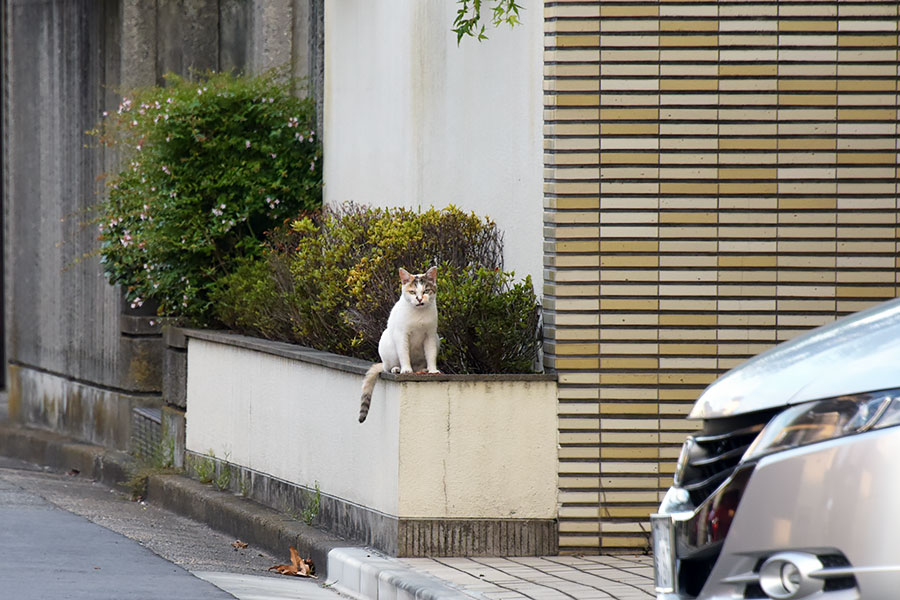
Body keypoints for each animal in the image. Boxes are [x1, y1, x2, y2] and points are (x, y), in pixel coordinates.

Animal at [360, 264, 442, 424]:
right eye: (412, 291)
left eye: (426, 290)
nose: (419, 299)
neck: (419, 314)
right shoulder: (401, 335)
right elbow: (404, 354)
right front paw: (406, 370)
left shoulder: (430, 335)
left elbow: (430, 354)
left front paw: (433, 370)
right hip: (386, 343)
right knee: (387, 367)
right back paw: (396, 369)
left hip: (436, 339)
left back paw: (423, 369)